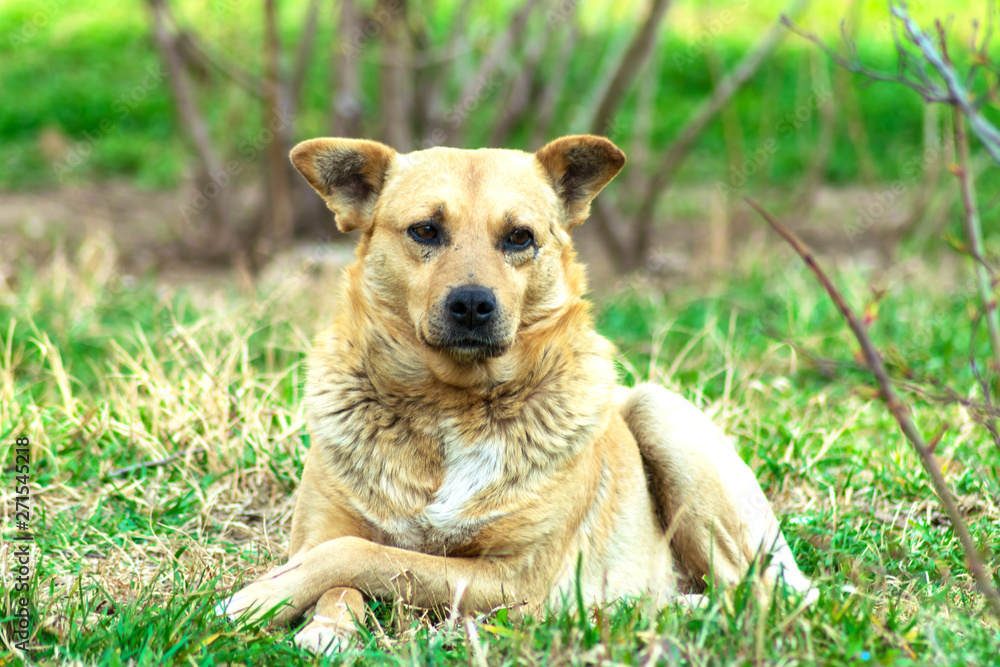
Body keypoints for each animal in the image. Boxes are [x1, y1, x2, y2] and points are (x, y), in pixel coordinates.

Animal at [221, 133, 812, 656]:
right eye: (426, 230)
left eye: (520, 237)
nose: (472, 304)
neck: (449, 405)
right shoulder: (319, 530)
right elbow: (344, 561)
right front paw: (326, 625)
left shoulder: (516, 576)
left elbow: (358, 555)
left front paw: (257, 598)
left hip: (661, 414)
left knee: (755, 596)